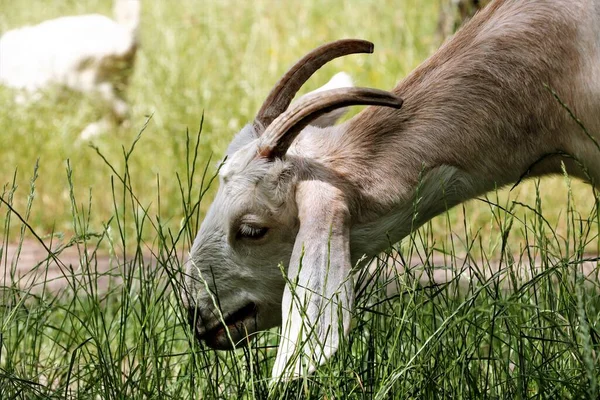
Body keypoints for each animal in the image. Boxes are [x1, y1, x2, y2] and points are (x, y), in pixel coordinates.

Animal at [0, 0, 141, 140]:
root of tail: (127, 37)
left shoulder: (30, 92)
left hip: (91, 83)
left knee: (120, 111)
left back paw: (84, 137)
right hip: (117, 82)